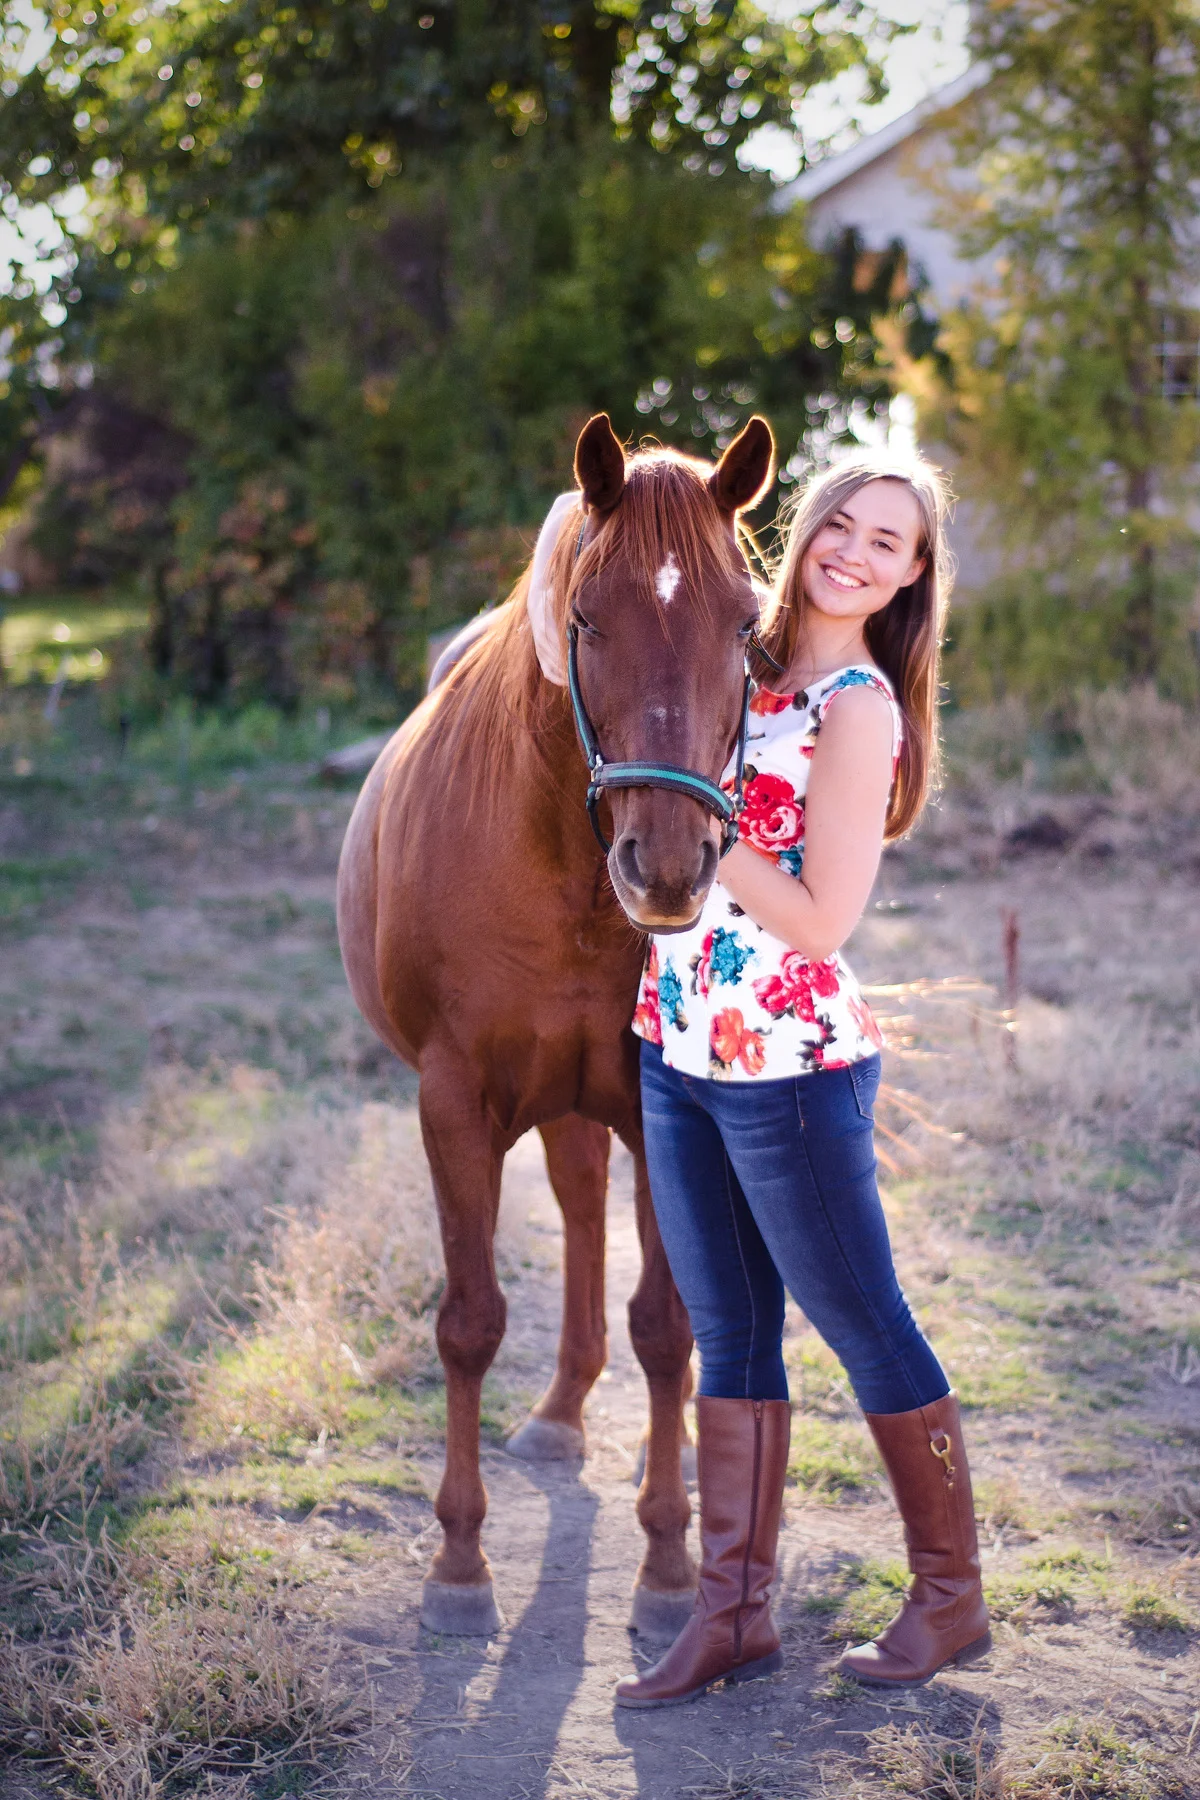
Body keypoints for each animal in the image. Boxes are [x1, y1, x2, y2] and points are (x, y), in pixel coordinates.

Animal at [337, 411, 775, 1637]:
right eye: (587, 619)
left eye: (748, 624)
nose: (667, 868)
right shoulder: (452, 1103)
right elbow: (469, 1322)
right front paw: (458, 1565)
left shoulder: (662, 1107)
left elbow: (670, 1330)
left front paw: (671, 1567)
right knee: (579, 1205)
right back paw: (562, 1415)